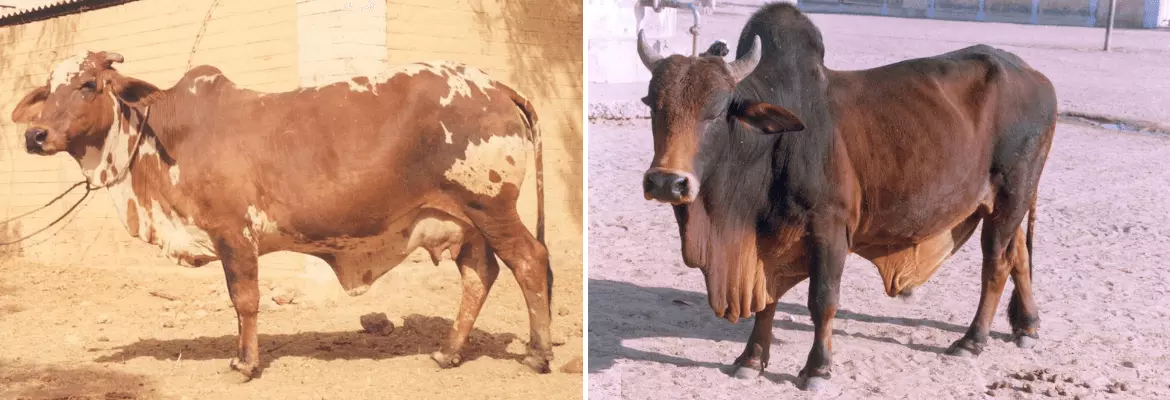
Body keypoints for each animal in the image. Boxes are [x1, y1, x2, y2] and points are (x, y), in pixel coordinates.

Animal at [10, 51, 555, 379]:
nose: (34, 136)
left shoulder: (233, 232)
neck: (160, 138)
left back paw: (537, 352)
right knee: (479, 274)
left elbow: (245, 300)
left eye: (88, 84)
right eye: (47, 89)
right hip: (468, 222)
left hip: (491, 207)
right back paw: (448, 351)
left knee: (529, 262)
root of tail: (497, 86)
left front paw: (245, 363)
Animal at [635, 3, 1056, 391]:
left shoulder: (830, 228)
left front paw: (817, 369)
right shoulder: (767, 239)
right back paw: (1028, 326)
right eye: (654, 106)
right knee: (1018, 255)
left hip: (1013, 194)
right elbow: (768, 300)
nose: (667, 182)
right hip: (1001, 204)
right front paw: (751, 359)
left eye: (718, 110)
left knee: (996, 265)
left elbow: (823, 299)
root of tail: (1036, 76)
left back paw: (973, 340)